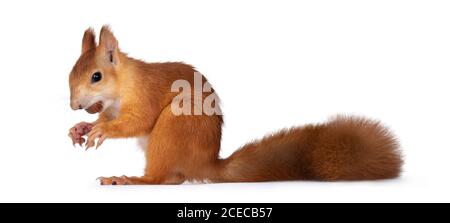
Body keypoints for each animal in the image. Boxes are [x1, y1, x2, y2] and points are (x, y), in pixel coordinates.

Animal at [68, 25, 402, 185]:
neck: (122, 88)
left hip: (173, 128)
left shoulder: (145, 96)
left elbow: (136, 121)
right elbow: (106, 118)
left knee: (162, 179)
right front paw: (81, 127)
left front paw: (101, 131)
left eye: (96, 76)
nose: (74, 106)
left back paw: (129, 179)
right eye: (71, 73)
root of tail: (205, 163)